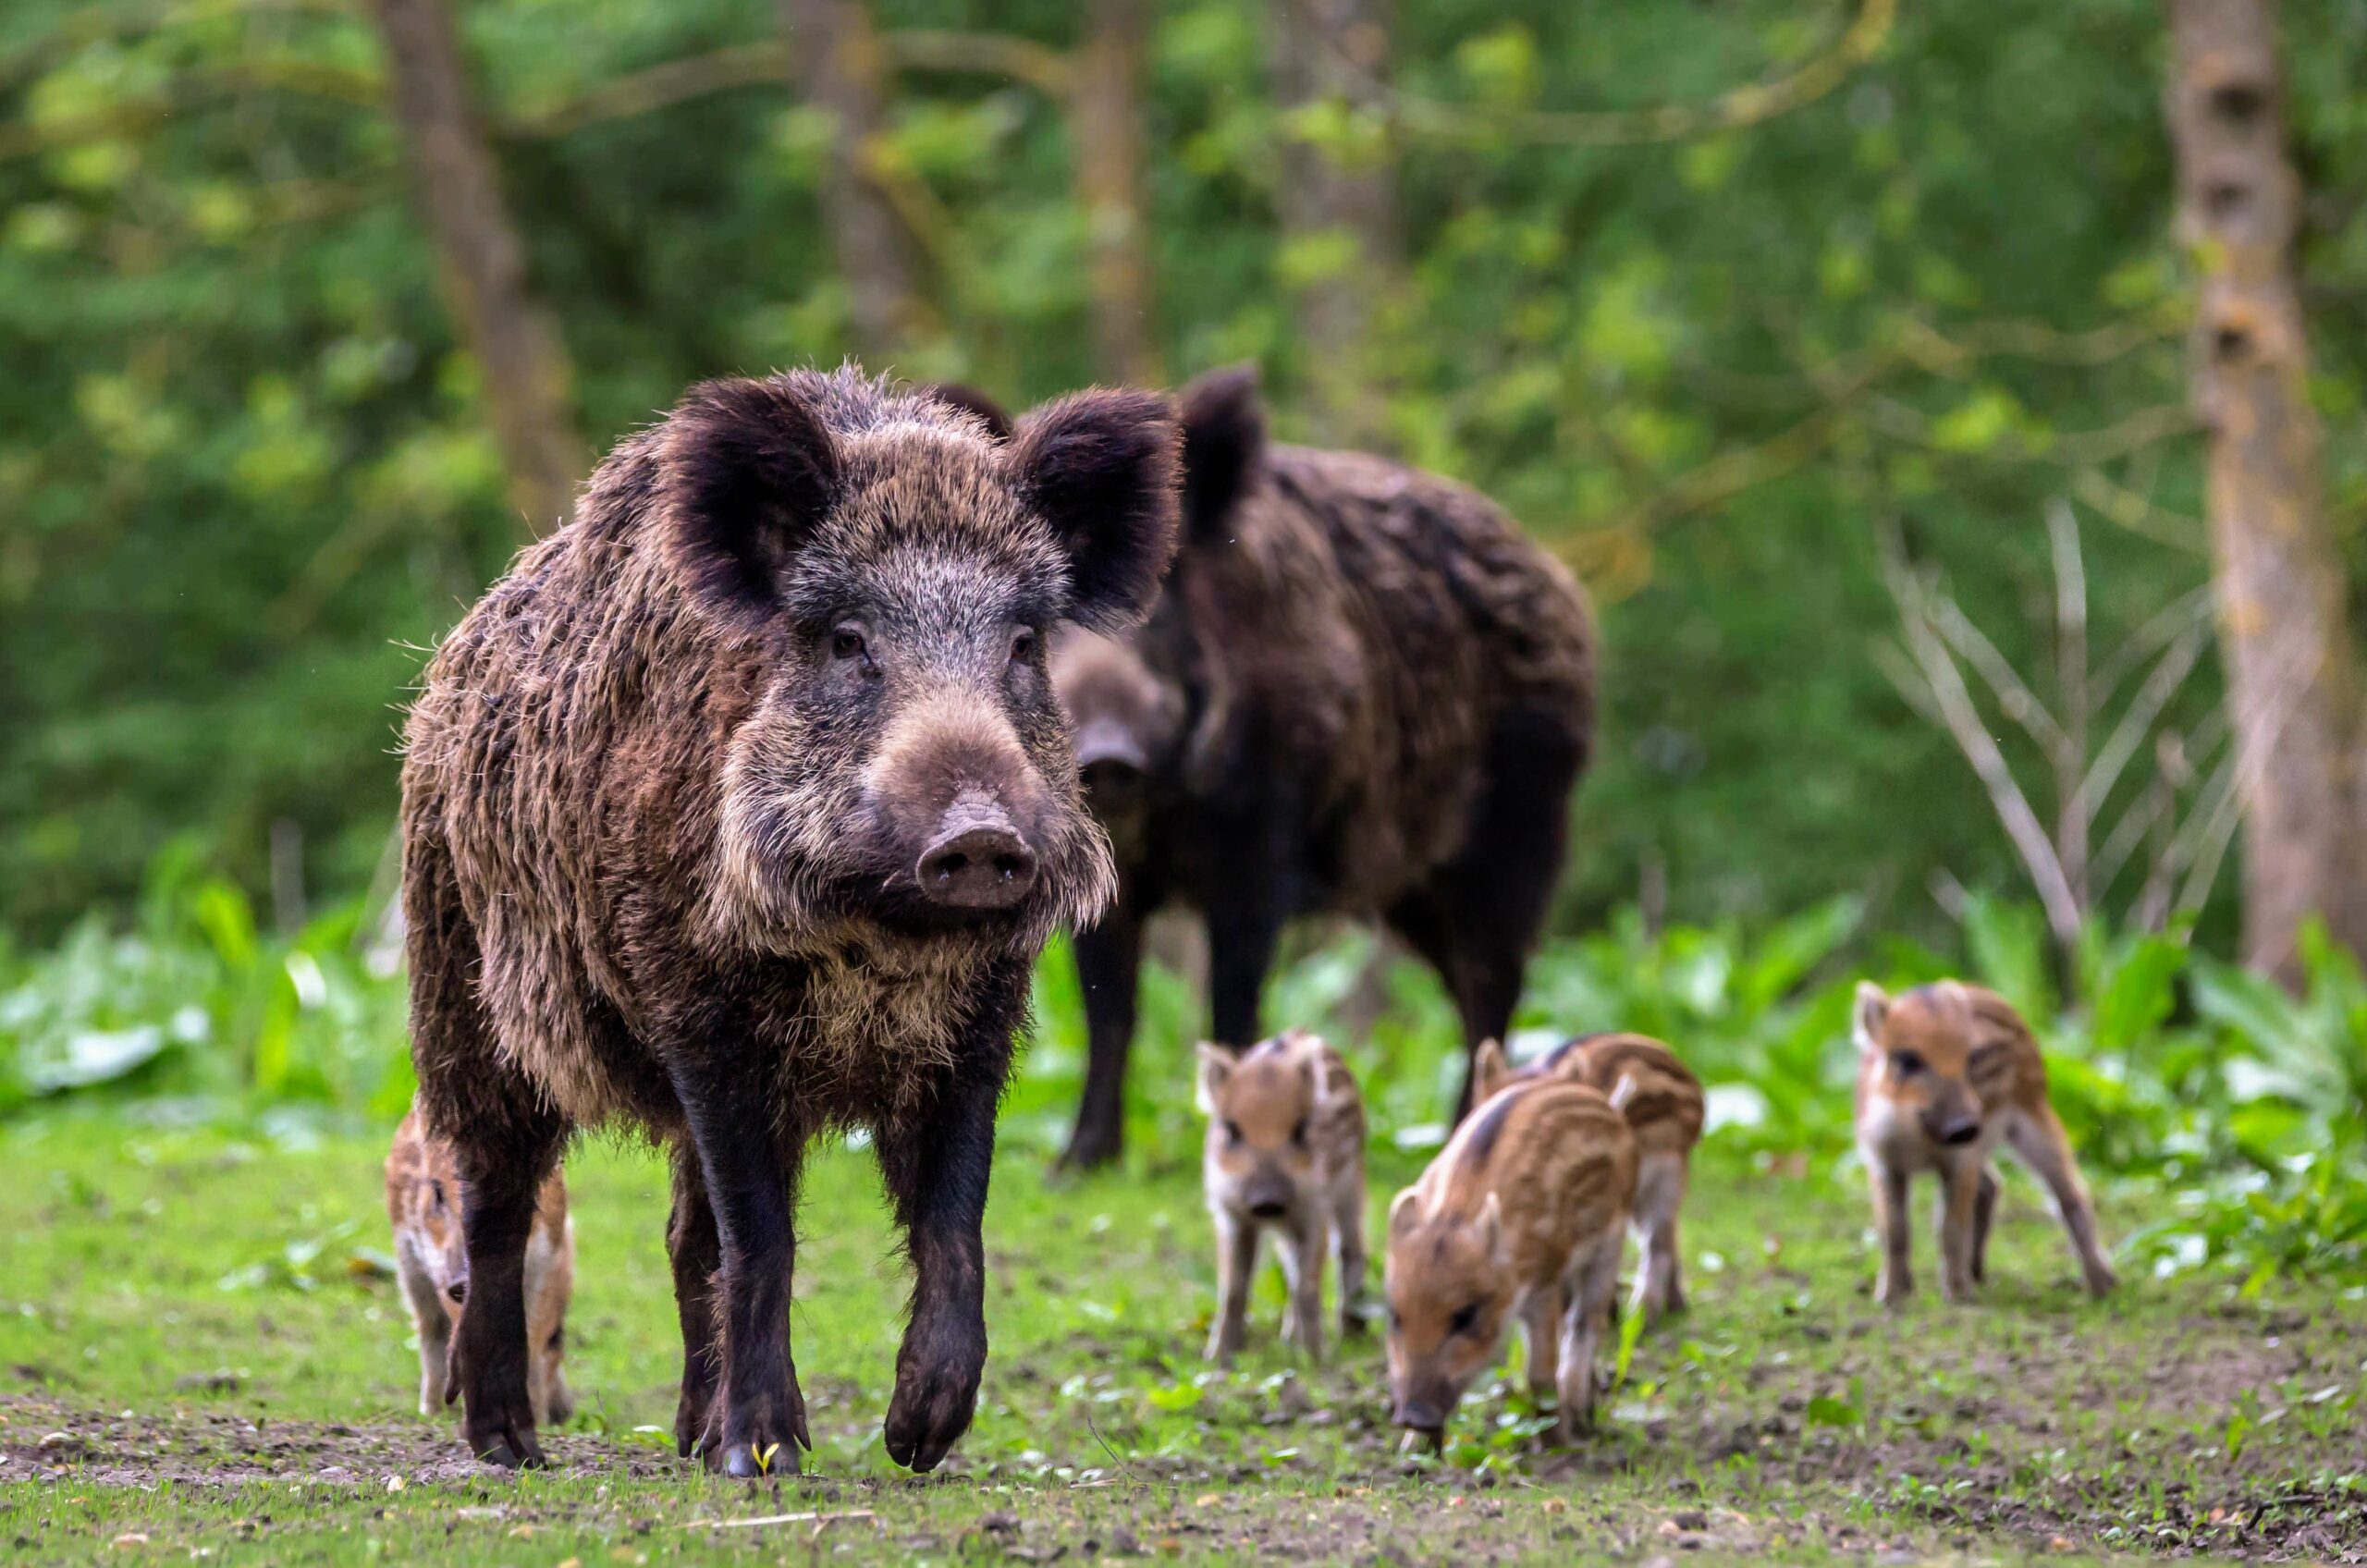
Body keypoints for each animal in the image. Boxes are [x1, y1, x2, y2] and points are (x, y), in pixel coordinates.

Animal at [385, 1107, 574, 1425]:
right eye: (437, 1191)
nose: (462, 1280)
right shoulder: (439, 1271)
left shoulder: (550, 1256)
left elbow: (535, 1339)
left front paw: (537, 1421)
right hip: (410, 1270)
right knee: (430, 1332)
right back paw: (433, 1413)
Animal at [1048, 365, 1595, 1168]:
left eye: (1156, 610)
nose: (1107, 752)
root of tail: (1559, 581)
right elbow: (1108, 1007)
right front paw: (1077, 1167)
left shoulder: (1260, 843)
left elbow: (1233, 996)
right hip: (1410, 890)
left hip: (1514, 833)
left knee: (1493, 982)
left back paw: (1465, 1132)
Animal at [1194, 1029, 1368, 1363]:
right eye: (1231, 1129)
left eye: (1300, 1130)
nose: (1267, 1200)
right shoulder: (1231, 1215)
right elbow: (1233, 1287)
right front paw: (1218, 1357)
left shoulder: (1314, 1209)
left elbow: (1308, 1285)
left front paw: (1314, 1358)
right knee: (1290, 1265)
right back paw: (1289, 1337)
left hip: (1351, 1184)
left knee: (1350, 1248)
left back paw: (1350, 1334)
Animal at [1384, 1076, 1636, 1447]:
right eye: (1395, 1316)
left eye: (1466, 1316)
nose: (1414, 1415)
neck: (1454, 1214)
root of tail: (1610, 1106)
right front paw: (1414, 1450)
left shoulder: (1544, 1283)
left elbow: (1539, 1373)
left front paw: (1555, 1444)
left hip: (1609, 1244)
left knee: (1586, 1323)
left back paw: (1578, 1417)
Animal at [1852, 980, 2117, 1304]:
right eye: (1908, 1061)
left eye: (1971, 1058)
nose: (1964, 1126)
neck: (1917, 1134)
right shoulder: (1882, 1160)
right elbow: (1893, 1229)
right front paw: (1890, 1297)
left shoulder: (1962, 1157)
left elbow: (1951, 1226)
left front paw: (1958, 1296)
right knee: (1991, 1184)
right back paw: (1977, 1273)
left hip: (2034, 1113)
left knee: (2069, 1193)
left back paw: (2103, 1286)